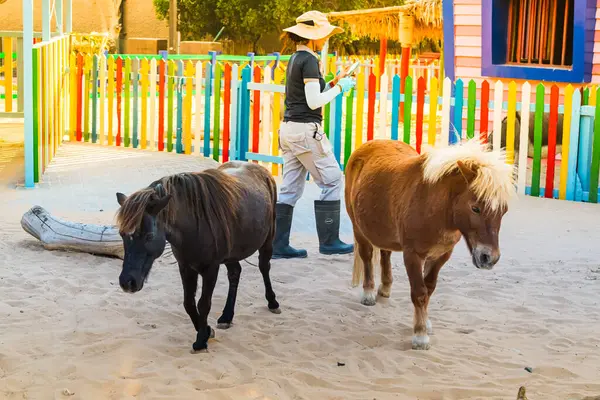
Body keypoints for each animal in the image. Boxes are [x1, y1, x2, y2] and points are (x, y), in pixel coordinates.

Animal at [116, 161, 280, 352]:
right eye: (121, 234)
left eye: (149, 236)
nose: (127, 282)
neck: (193, 225)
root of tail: (259, 169)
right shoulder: (185, 267)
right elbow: (188, 303)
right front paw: (207, 330)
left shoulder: (211, 269)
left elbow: (204, 303)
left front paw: (201, 339)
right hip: (231, 254)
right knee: (235, 273)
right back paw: (226, 316)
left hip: (267, 241)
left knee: (264, 267)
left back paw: (272, 302)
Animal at [346, 140, 516, 350]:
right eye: (475, 208)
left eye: (504, 210)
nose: (489, 258)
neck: (435, 206)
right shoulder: (412, 255)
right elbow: (420, 293)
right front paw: (420, 336)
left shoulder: (440, 256)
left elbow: (429, 289)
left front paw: (425, 323)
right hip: (359, 229)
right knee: (367, 257)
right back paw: (368, 292)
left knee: (385, 253)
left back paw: (385, 288)